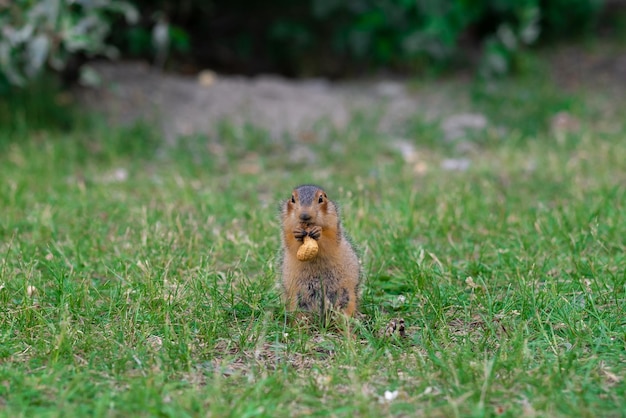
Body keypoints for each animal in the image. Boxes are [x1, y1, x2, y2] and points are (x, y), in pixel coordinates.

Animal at [280, 184, 360, 320]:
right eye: (292, 199)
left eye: (321, 198)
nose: (305, 215)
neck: (308, 228)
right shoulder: (287, 227)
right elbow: (291, 241)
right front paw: (297, 234)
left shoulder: (333, 225)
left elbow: (329, 239)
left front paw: (319, 233)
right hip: (298, 298)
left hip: (346, 294)